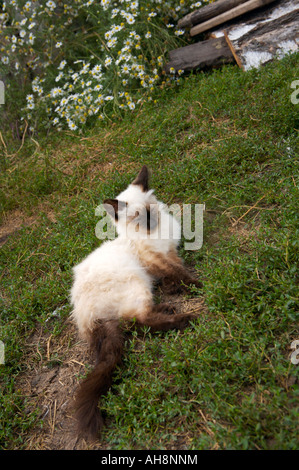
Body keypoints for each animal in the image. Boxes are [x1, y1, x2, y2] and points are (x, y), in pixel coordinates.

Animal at [70, 166, 202, 440]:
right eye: (138, 218)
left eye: (151, 211)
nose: (151, 223)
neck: (155, 237)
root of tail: (88, 318)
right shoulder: (155, 260)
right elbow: (180, 275)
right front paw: (196, 285)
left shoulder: (169, 254)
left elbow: (176, 272)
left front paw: (174, 288)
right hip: (137, 283)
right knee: (138, 322)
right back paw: (184, 319)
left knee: (137, 320)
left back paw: (168, 307)